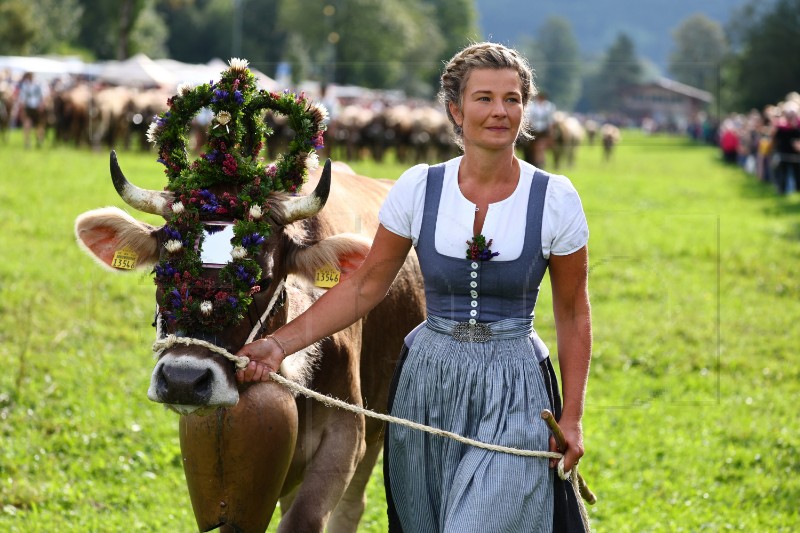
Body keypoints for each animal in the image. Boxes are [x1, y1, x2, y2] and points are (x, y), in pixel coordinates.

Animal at [74, 153, 424, 528]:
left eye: (263, 281)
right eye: (160, 273)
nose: (183, 380)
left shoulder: (347, 432)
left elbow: (304, 517)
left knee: (352, 506)